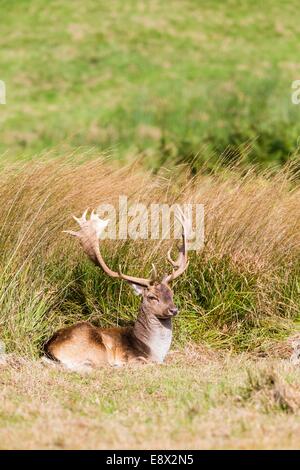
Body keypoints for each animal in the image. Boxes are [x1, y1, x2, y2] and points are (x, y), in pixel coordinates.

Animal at [44, 207, 190, 370]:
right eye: (152, 297)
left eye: (171, 293)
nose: (173, 310)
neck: (155, 352)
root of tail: (49, 347)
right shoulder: (133, 357)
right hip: (97, 351)